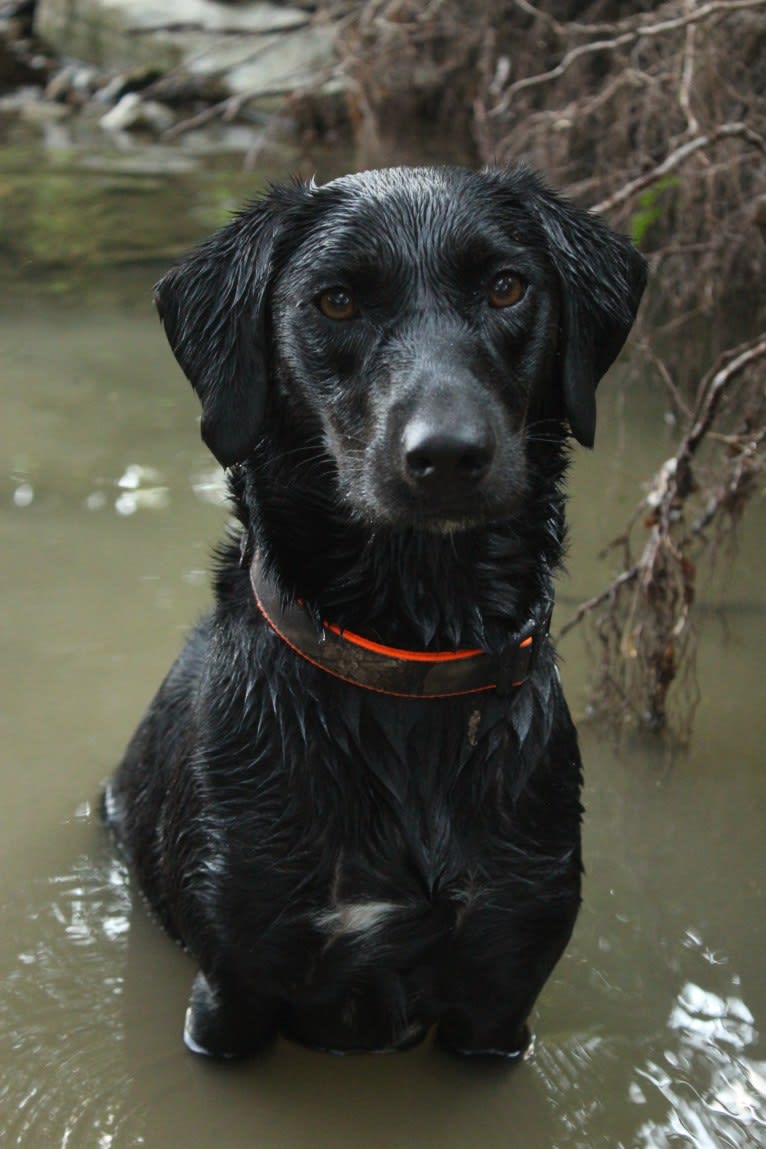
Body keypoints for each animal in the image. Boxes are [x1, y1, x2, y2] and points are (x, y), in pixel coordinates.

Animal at [103, 162, 647, 1057]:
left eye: (506, 287)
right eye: (335, 302)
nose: (449, 454)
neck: (408, 666)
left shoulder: (502, 992)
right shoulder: (233, 989)